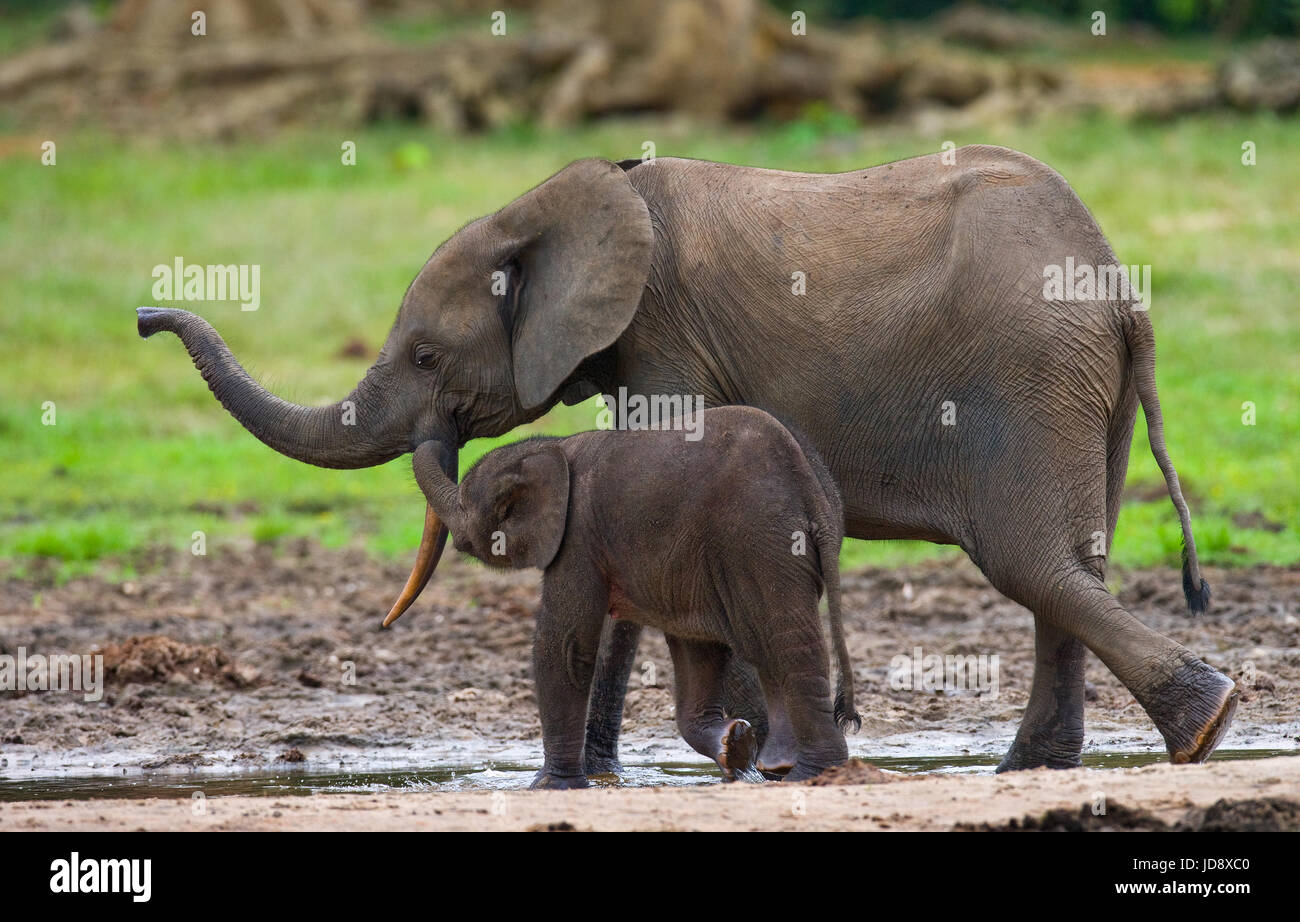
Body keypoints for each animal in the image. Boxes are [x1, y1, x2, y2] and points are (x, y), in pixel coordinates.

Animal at [407, 405, 860, 787]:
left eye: (465, 503)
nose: (440, 432)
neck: (553, 448)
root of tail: (810, 491)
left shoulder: (577, 539)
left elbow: (565, 647)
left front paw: (550, 787)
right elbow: (697, 653)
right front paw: (734, 745)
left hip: (761, 544)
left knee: (787, 646)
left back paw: (811, 775)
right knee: (770, 652)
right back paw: (776, 766)